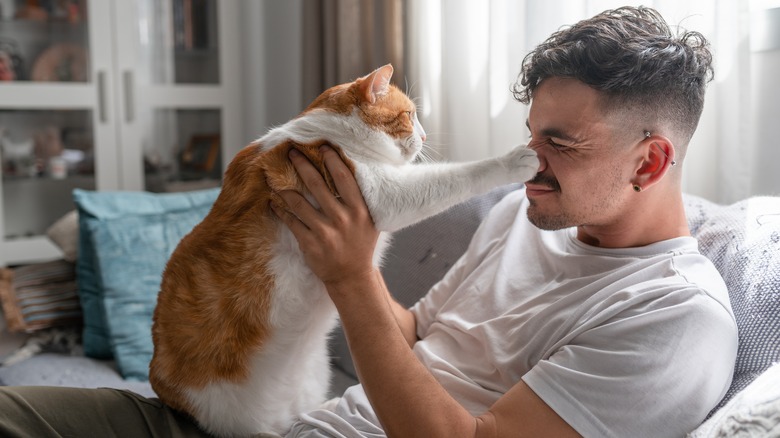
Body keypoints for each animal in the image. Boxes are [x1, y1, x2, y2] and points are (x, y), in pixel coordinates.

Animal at [149, 63, 540, 436]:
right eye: (409, 115)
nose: (426, 136)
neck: (331, 134)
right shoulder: (386, 194)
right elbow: (457, 175)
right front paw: (512, 161)